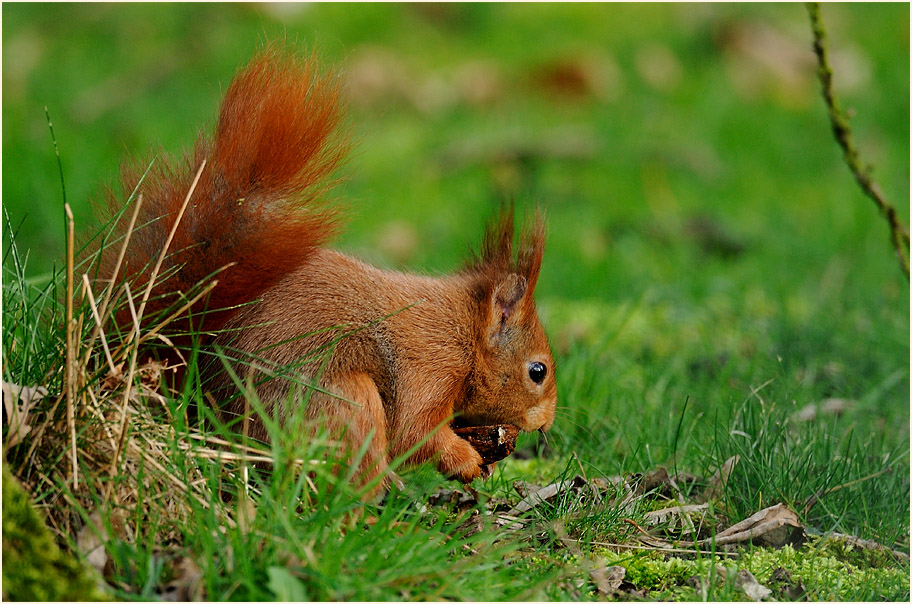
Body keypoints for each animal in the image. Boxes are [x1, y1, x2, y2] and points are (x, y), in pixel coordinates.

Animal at [94, 46, 557, 488]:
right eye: (538, 371)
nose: (548, 422)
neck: (465, 330)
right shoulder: (430, 364)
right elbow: (414, 431)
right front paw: (467, 459)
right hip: (343, 401)